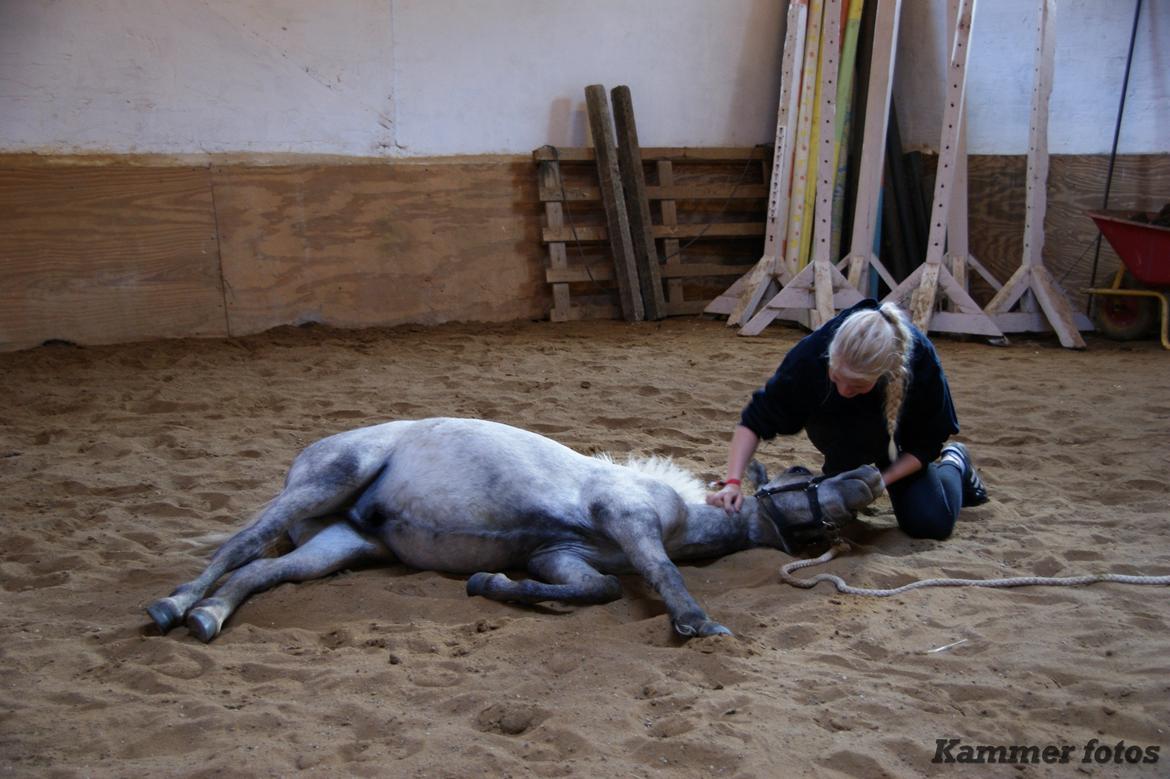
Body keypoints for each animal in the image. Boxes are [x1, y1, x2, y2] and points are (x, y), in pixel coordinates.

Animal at [143, 416, 879, 640]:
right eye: (803, 474)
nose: (872, 472)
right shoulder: (627, 517)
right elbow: (660, 573)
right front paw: (697, 623)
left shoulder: (560, 560)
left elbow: (596, 591)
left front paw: (490, 583)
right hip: (326, 481)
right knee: (237, 546)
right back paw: (174, 604)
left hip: (336, 546)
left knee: (261, 570)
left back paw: (208, 615)